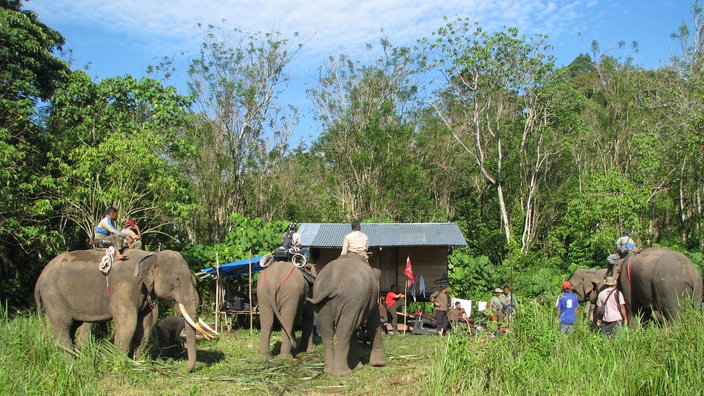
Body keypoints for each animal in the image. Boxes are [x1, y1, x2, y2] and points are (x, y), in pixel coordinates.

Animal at [35, 248, 217, 372]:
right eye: (176, 280)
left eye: (194, 280)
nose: (183, 368)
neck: (151, 255)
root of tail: (39, 279)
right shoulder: (124, 286)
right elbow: (128, 323)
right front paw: (121, 364)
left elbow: (145, 324)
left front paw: (139, 361)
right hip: (53, 297)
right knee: (63, 327)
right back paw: (71, 362)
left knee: (72, 326)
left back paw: (77, 358)